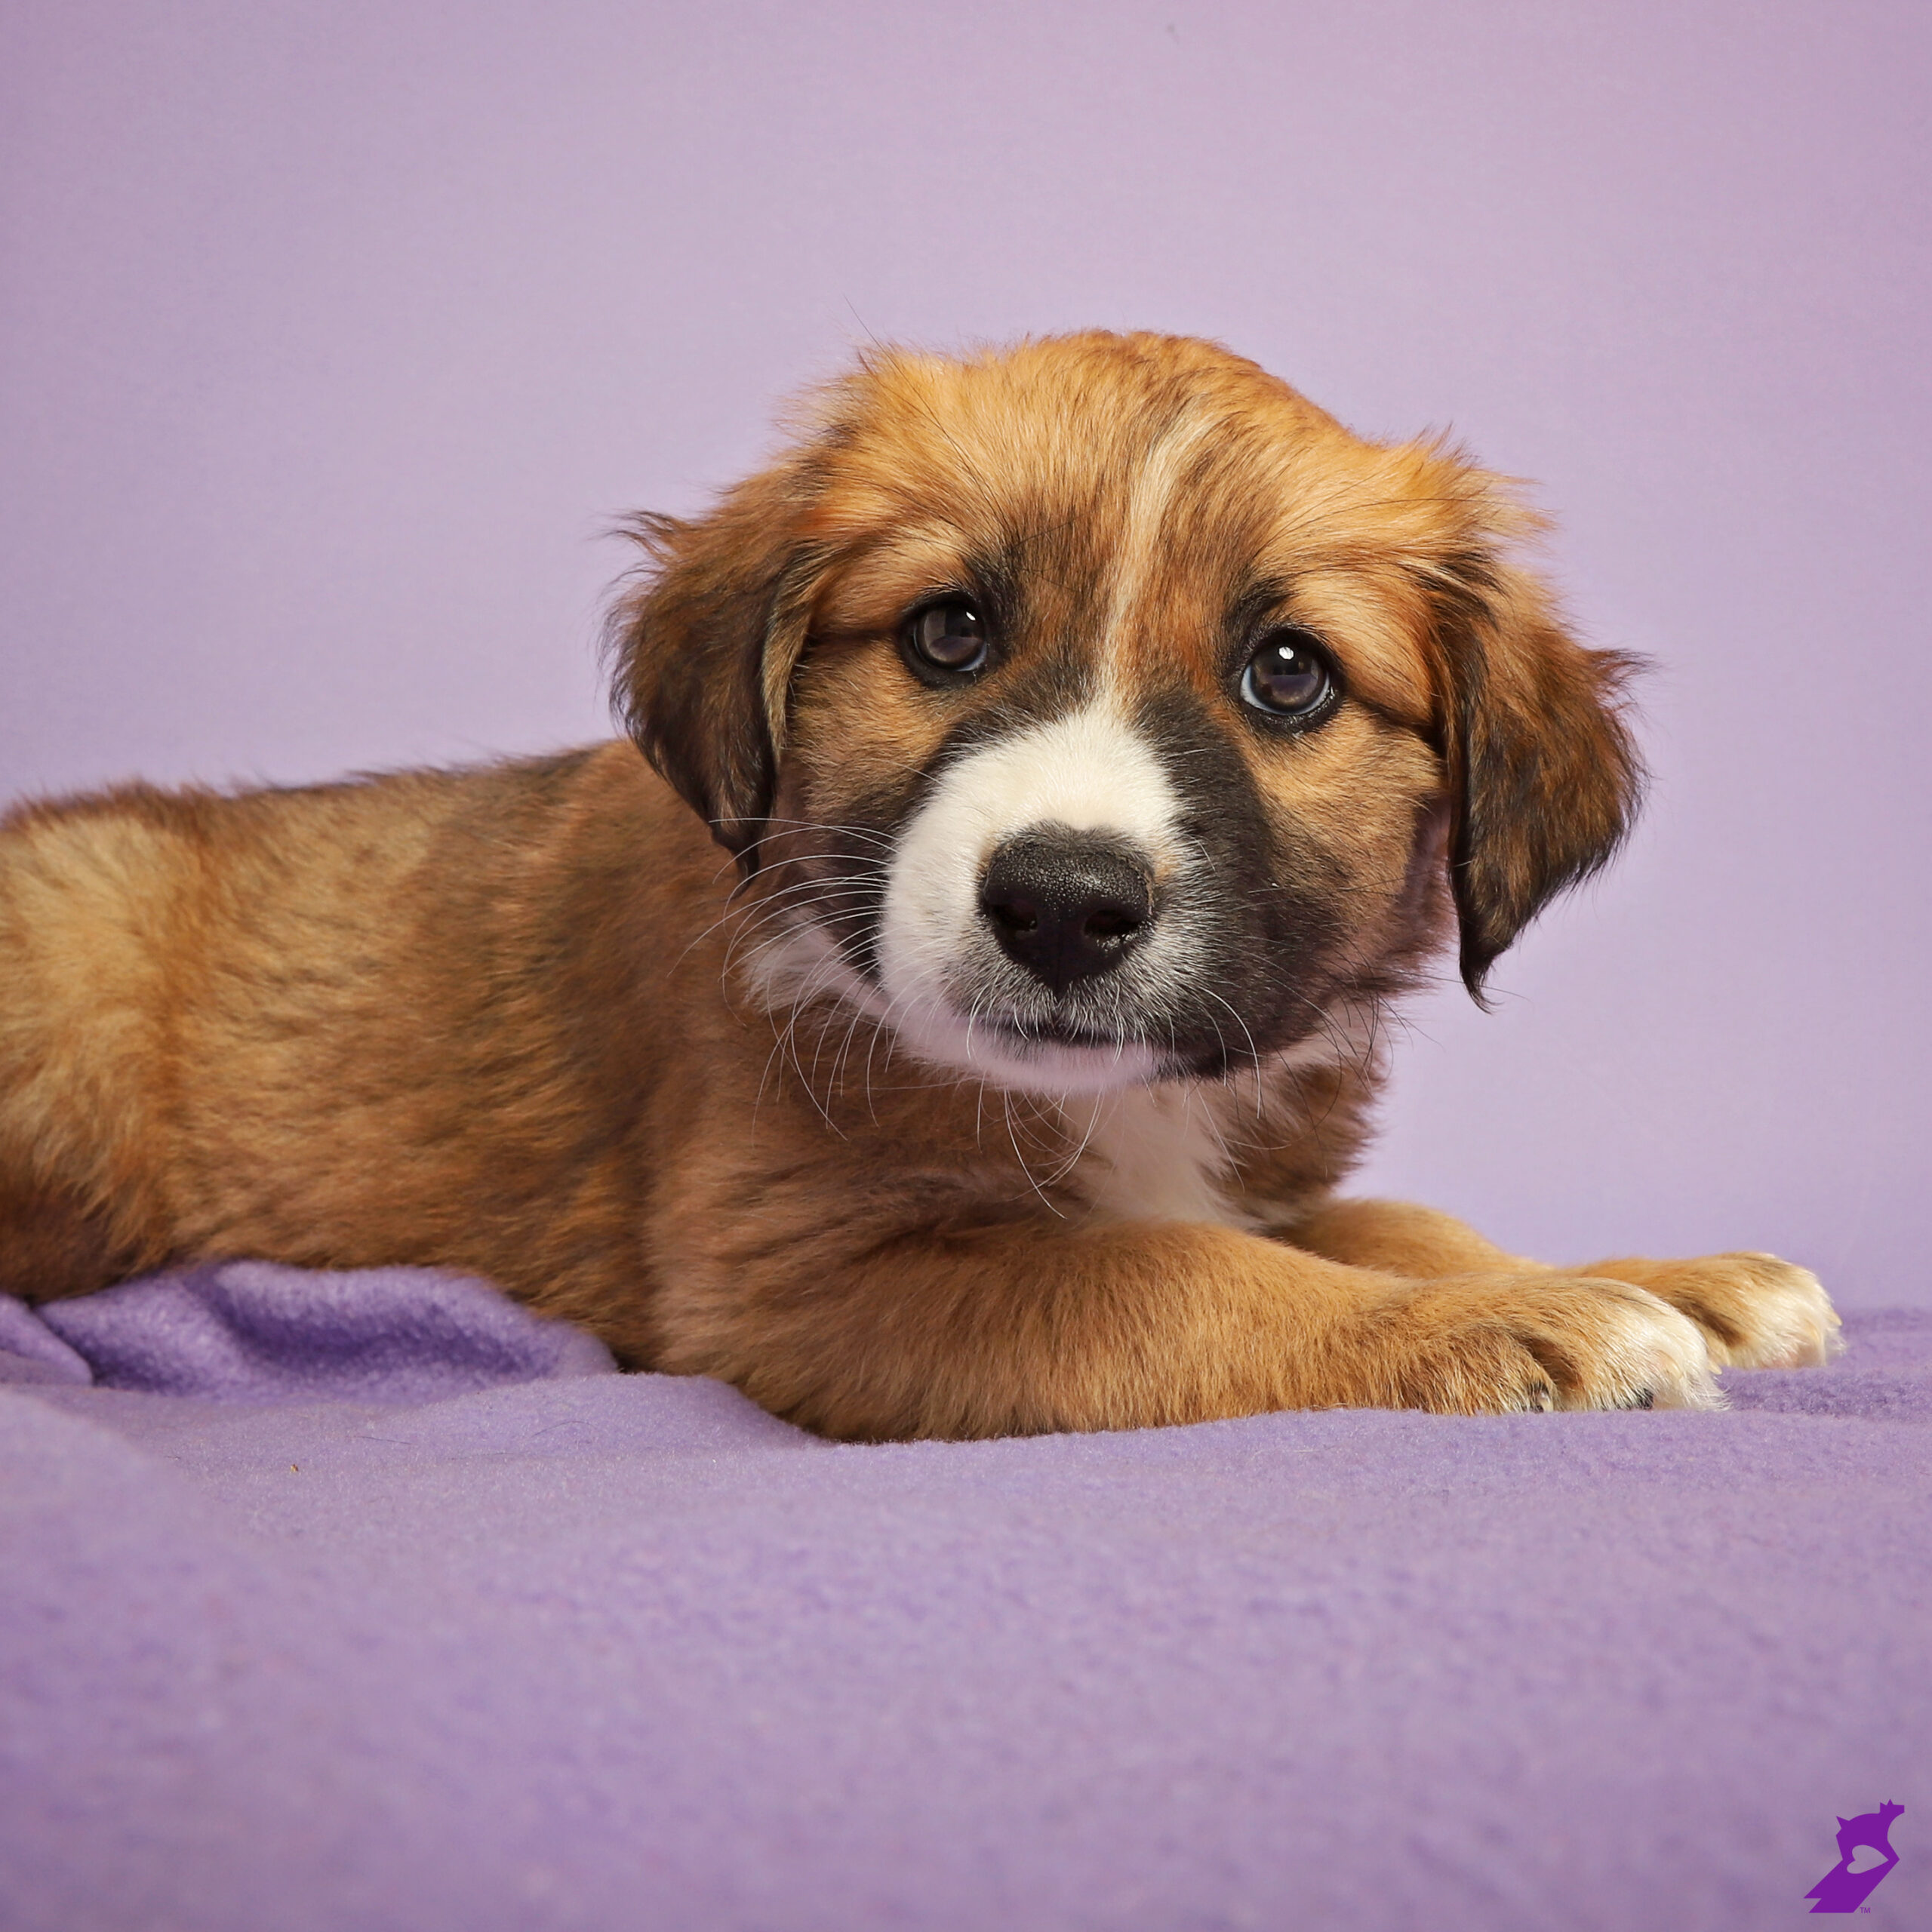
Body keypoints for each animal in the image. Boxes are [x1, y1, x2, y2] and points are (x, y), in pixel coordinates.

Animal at [0, 332, 1839, 1444]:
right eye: (948, 632)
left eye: (1289, 675)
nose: (1065, 904)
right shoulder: (802, 1277)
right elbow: (1175, 1278)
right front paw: (1529, 1328)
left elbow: (1390, 1224)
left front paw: (1642, 1278)